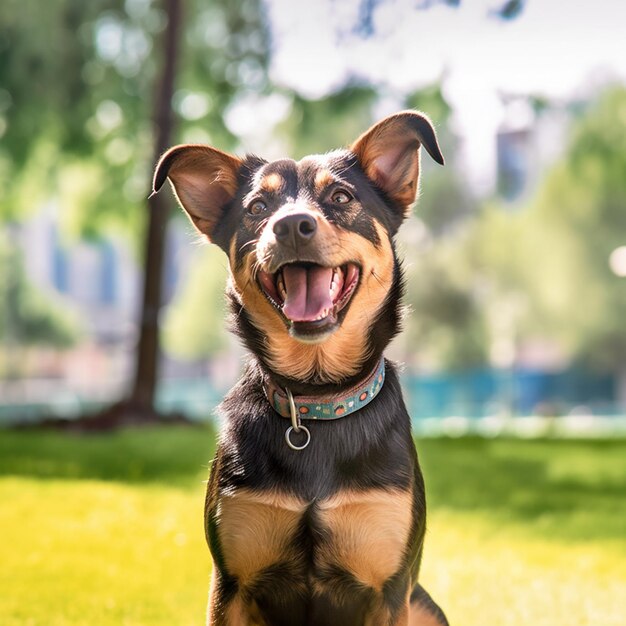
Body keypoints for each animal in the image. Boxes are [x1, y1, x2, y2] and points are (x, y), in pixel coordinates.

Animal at [154, 111, 450, 624]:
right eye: (257, 206)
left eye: (341, 197)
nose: (291, 225)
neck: (315, 398)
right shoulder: (229, 583)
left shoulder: (391, 590)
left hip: (423, 603)